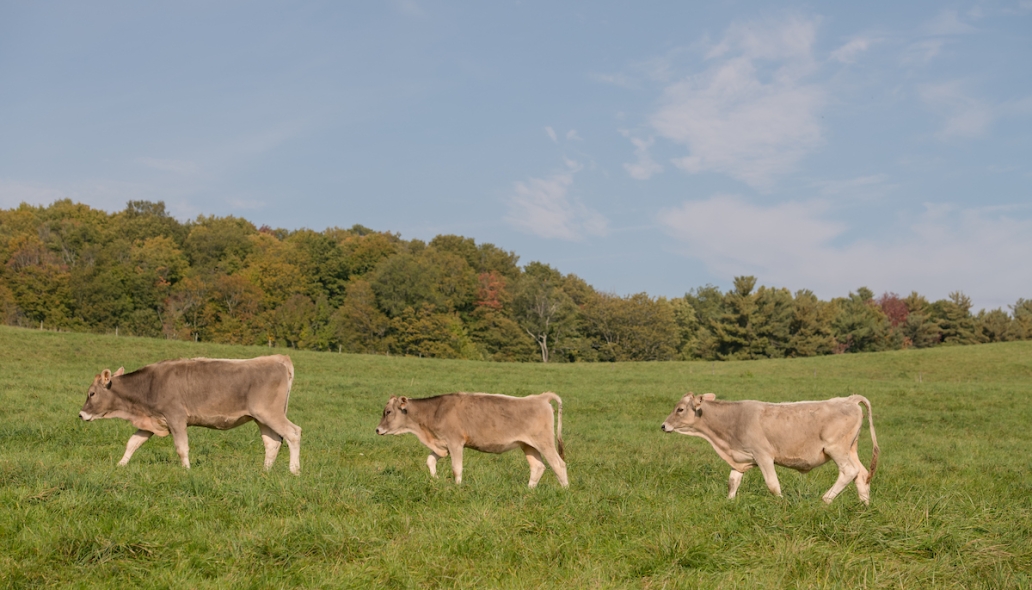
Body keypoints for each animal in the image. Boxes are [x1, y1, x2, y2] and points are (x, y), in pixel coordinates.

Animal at [78, 355, 302, 474]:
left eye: (92, 393)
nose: (81, 414)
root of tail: (277, 359)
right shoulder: (152, 421)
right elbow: (133, 443)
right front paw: (120, 465)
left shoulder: (176, 418)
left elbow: (181, 448)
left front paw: (186, 470)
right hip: (261, 418)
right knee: (272, 442)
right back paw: (265, 471)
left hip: (270, 413)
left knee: (293, 433)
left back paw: (294, 470)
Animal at [375, 392, 568, 488]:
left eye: (388, 412)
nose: (377, 430)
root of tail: (540, 397)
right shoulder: (442, 444)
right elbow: (430, 460)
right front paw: (435, 479)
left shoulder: (455, 442)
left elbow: (456, 468)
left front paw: (458, 487)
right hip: (528, 445)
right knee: (538, 466)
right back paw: (529, 490)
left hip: (544, 442)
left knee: (558, 464)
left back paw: (565, 491)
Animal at [661, 393, 879, 504]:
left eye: (680, 409)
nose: (663, 425)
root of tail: (849, 399)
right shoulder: (740, 457)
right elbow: (733, 482)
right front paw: (729, 503)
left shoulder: (763, 455)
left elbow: (773, 484)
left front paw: (781, 504)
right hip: (851, 449)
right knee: (861, 474)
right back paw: (864, 506)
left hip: (837, 449)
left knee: (849, 471)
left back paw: (826, 500)